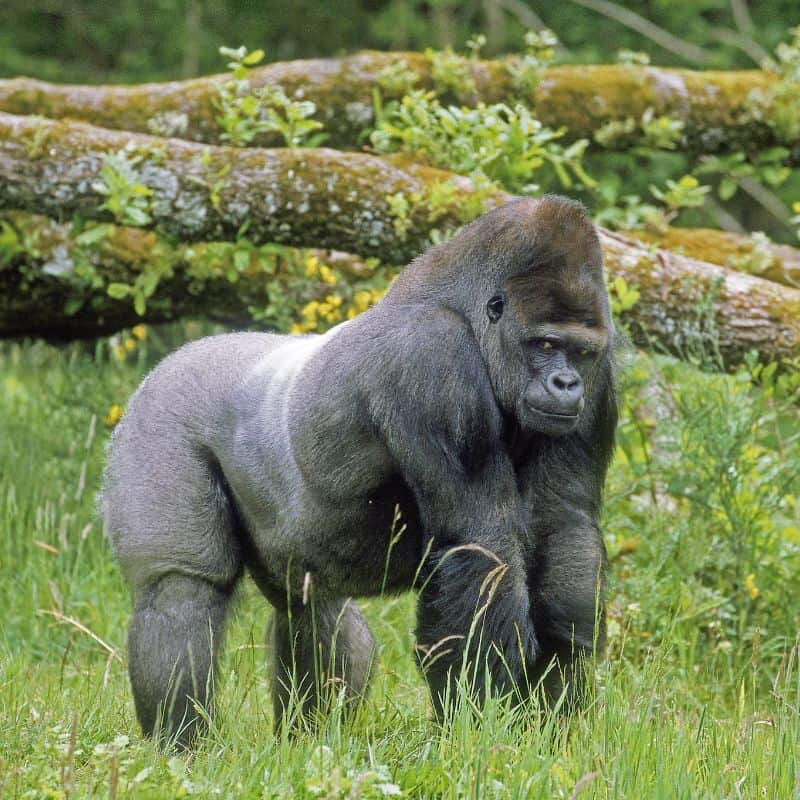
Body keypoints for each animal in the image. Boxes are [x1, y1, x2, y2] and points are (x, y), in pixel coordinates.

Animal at [104, 195, 620, 744]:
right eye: (544, 344)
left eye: (580, 351)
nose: (567, 383)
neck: (465, 311)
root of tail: (174, 358)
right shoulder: (431, 356)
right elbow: (481, 543)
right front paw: (480, 725)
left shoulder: (600, 377)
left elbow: (562, 526)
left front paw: (554, 710)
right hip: (158, 418)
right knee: (181, 588)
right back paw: (181, 742)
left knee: (311, 606)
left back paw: (307, 737)